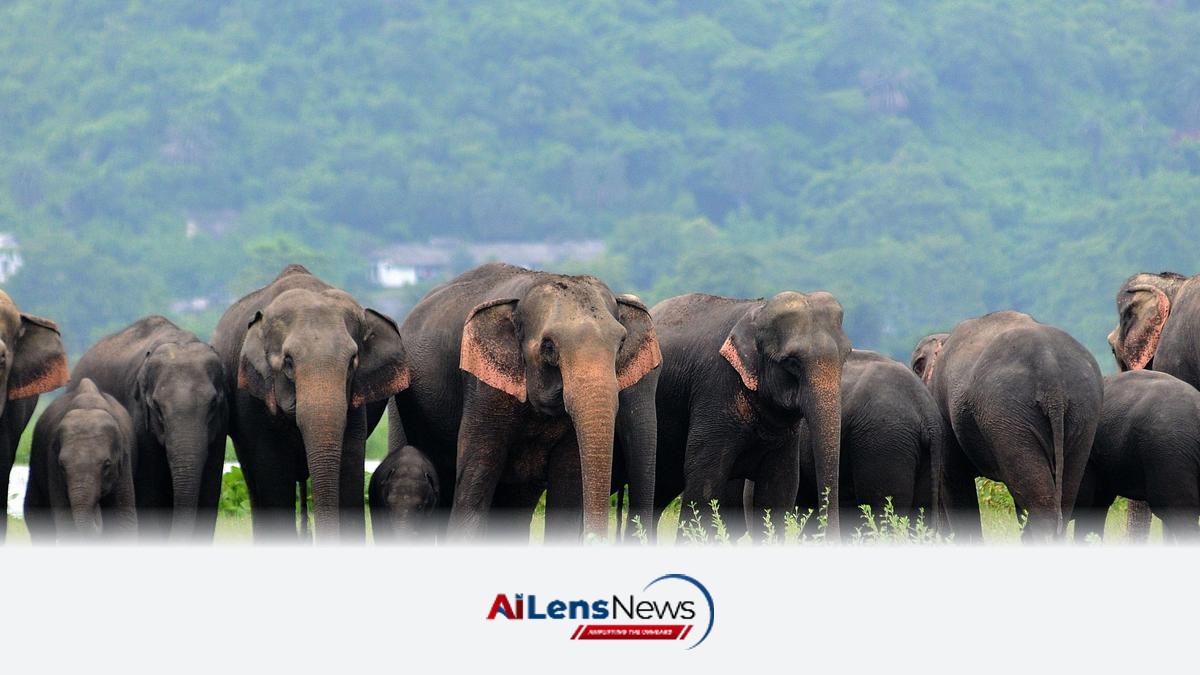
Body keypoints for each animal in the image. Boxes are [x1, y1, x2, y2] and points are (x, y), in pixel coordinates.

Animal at [24, 378, 137, 544]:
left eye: (107, 465)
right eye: (62, 466)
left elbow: (124, 520)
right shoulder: (52, 463)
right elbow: (66, 523)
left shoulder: (125, 460)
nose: (97, 508)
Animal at [70, 316, 228, 543]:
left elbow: (209, 494)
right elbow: (148, 494)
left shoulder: (220, 427)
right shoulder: (138, 419)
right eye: (157, 407)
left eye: (214, 403)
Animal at [651, 291, 851, 541]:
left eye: (846, 356)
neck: (756, 312)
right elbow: (705, 480)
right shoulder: (714, 392)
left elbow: (780, 488)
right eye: (792, 362)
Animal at [911, 311, 1103, 542]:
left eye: (915, 367)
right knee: (1062, 496)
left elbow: (953, 479)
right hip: (1082, 412)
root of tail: (1050, 372)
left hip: (1007, 414)